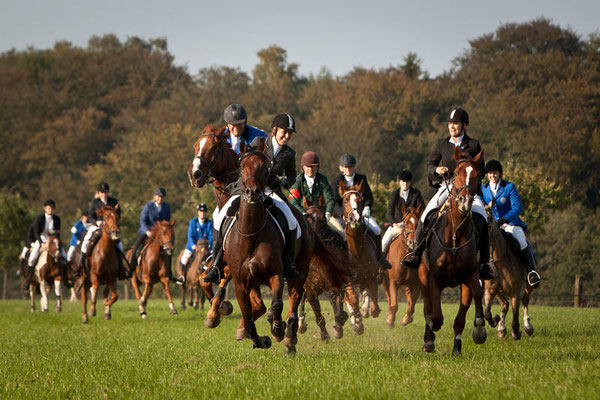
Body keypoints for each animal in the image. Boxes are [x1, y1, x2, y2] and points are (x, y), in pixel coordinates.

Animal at [298, 203, 364, 340]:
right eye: (307, 219)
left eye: (323, 218)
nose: (317, 237)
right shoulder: (310, 290)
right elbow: (318, 315)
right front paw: (324, 336)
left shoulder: (336, 284)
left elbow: (339, 311)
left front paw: (340, 327)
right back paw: (301, 323)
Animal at [340, 182, 382, 322]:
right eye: (345, 200)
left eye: (360, 200)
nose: (355, 219)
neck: (357, 251)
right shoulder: (347, 280)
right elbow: (353, 299)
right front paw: (357, 319)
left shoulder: (371, 276)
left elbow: (374, 305)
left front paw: (365, 310)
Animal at [420, 148, 490, 354]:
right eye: (457, 173)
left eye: (476, 175)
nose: (465, 202)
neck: (454, 235)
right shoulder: (433, 278)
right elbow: (435, 314)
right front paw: (432, 332)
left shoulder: (470, 276)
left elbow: (474, 298)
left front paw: (478, 331)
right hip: (422, 275)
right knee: (427, 307)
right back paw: (428, 339)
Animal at [482, 202, 540, 340]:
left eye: (489, 219)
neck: (497, 262)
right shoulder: (489, 290)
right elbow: (487, 313)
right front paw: (496, 320)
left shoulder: (514, 293)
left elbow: (515, 313)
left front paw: (516, 332)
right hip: (498, 291)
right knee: (504, 304)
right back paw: (501, 328)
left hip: (529, 284)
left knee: (525, 300)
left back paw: (527, 327)